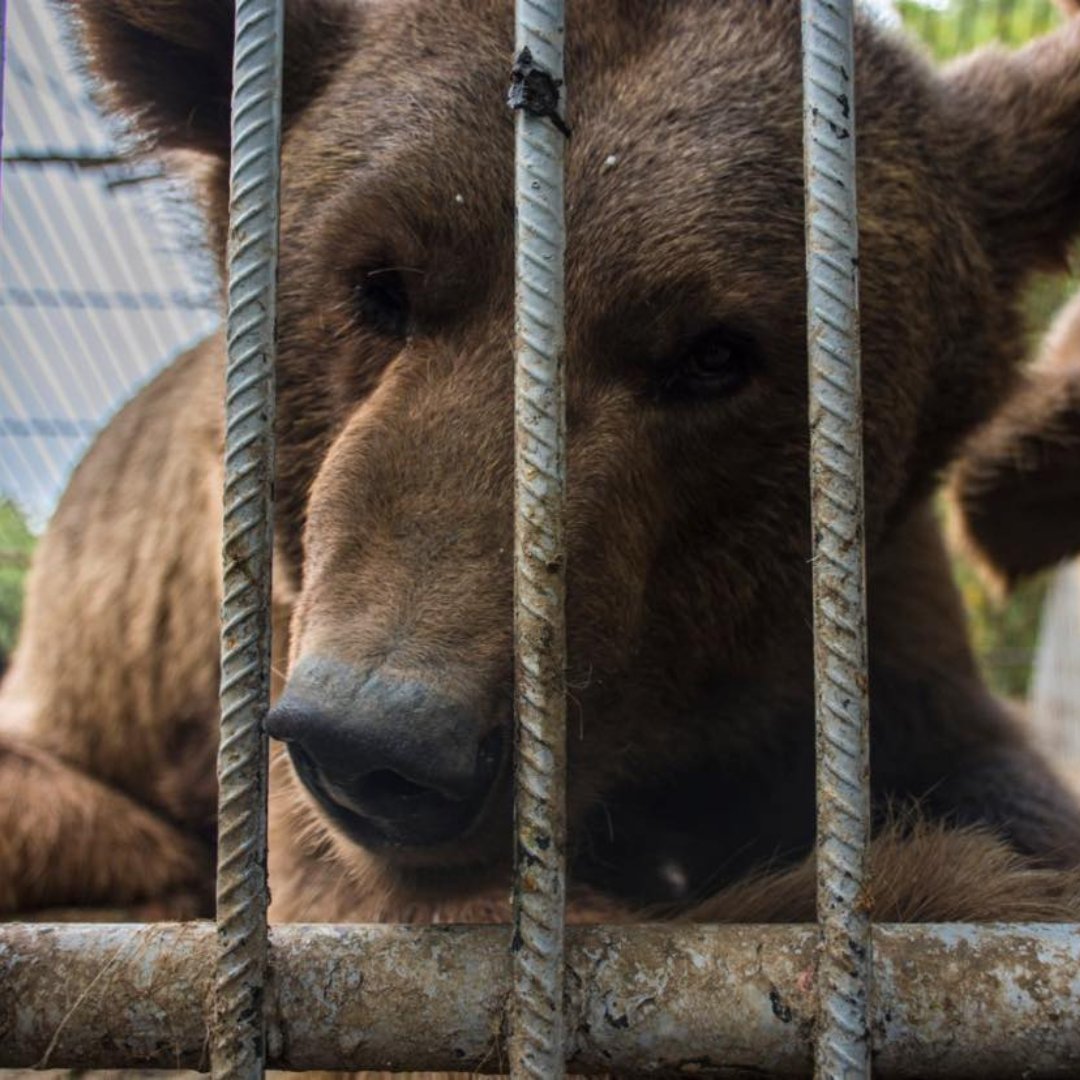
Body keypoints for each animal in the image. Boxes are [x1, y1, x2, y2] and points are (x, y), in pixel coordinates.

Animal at [6, 0, 1080, 928]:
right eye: (376, 285)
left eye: (716, 352)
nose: (380, 741)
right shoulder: (276, 650)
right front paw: (944, 880)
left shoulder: (876, 612)